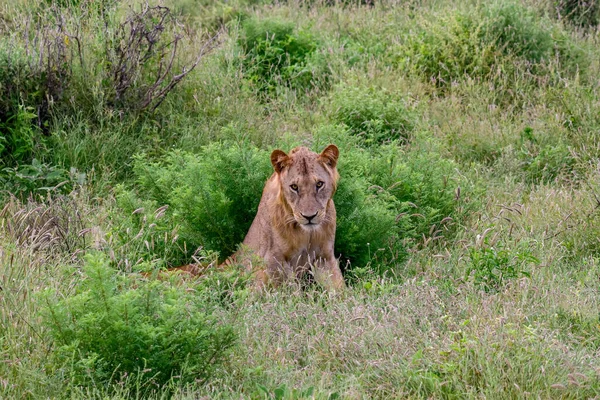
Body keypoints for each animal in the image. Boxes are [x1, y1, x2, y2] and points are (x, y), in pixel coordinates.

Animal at [237, 145, 344, 290]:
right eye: (294, 187)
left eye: (319, 184)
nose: (309, 216)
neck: (306, 234)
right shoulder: (273, 259)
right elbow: (290, 291)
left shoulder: (324, 257)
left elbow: (339, 287)